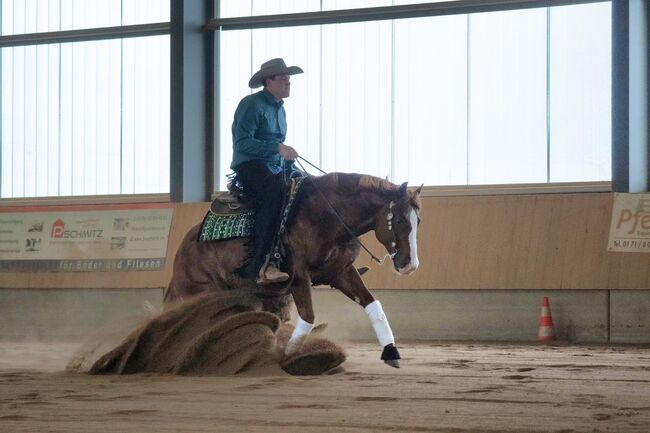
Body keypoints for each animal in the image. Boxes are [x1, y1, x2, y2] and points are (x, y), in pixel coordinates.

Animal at [165, 170, 420, 366]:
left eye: (418, 221)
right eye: (399, 220)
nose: (410, 265)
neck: (327, 218)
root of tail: (185, 246)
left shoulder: (342, 272)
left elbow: (372, 304)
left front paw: (391, 352)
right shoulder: (299, 277)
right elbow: (307, 317)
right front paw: (287, 358)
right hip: (200, 292)